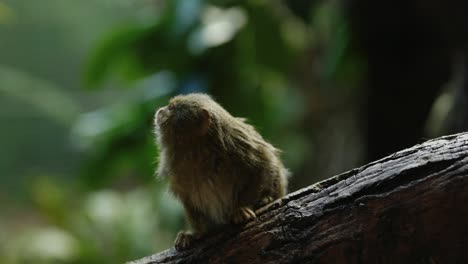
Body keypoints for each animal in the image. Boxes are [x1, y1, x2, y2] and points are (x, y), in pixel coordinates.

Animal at [154, 94, 288, 251]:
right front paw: (196, 233)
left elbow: (264, 164)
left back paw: (266, 199)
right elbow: (189, 199)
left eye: (172, 108)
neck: (199, 151)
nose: (161, 110)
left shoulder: (240, 143)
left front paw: (241, 208)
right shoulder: (177, 171)